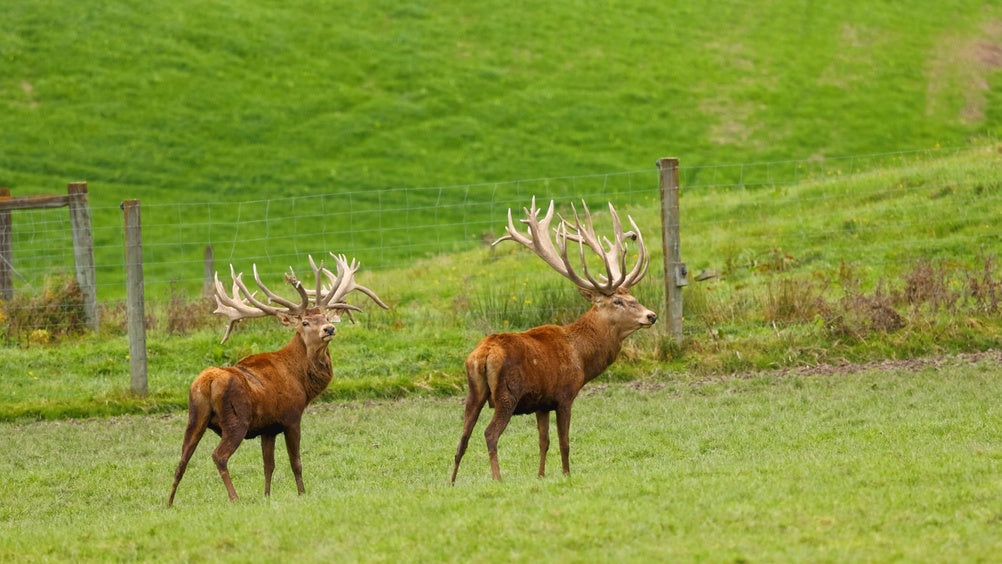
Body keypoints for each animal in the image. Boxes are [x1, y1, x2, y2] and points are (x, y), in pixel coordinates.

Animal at [167, 252, 388, 507]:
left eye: (324, 316)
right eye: (305, 322)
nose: (329, 329)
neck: (301, 381)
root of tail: (207, 383)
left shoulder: (268, 428)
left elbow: (268, 465)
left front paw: (267, 495)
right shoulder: (291, 417)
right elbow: (296, 462)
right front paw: (302, 493)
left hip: (195, 417)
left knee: (181, 460)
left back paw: (169, 503)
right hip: (236, 420)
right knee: (218, 456)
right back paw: (234, 497)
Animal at [450, 197, 657, 483]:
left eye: (633, 297)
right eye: (618, 301)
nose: (651, 315)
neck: (581, 356)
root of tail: (483, 354)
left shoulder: (542, 403)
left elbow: (543, 441)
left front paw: (540, 476)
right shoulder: (564, 394)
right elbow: (564, 442)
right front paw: (567, 474)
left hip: (474, 391)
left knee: (462, 438)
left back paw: (452, 482)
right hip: (506, 394)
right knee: (489, 434)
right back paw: (497, 479)